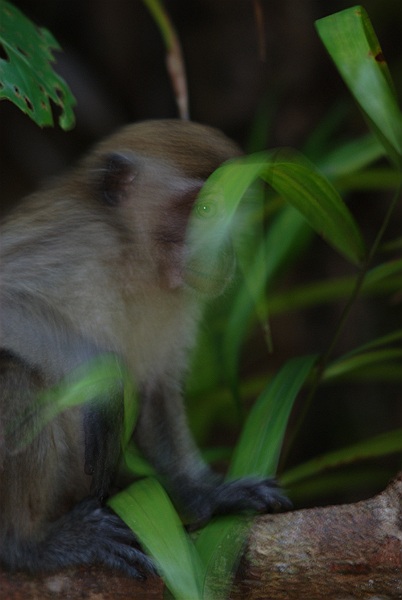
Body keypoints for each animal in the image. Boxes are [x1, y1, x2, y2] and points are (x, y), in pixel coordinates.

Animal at [0, 118, 288, 576]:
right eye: (203, 210)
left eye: (229, 212)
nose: (222, 251)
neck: (133, 256)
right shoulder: (75, 240)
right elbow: (7, 298)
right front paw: (103, 382)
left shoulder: (180, 296)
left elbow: (156, 389)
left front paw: (203, 495)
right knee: (17, 374)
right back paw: (25, 544)